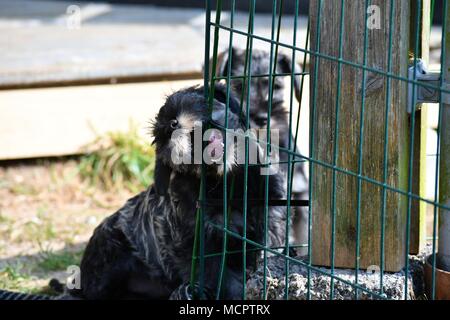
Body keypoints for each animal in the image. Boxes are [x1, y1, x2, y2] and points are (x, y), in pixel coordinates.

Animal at [67, 84, 284, 298]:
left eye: (196, 103)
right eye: (167, 132)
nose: (175, 125)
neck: (226, 182)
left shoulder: (270, 215)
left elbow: (269, 247)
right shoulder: (194, 242)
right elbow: (220, 276)